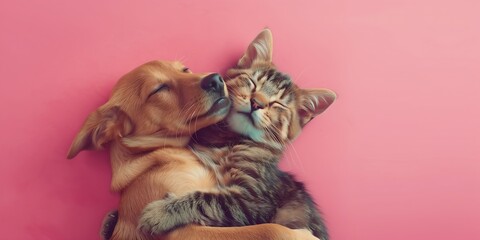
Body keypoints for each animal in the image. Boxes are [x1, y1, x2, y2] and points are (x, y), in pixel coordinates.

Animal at [137, 29, 336, 240]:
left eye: (278, 104)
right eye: (252, 83)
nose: (256, 103)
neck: (229, 141)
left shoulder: (253, 201)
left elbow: (207, 200)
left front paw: (162, 212)